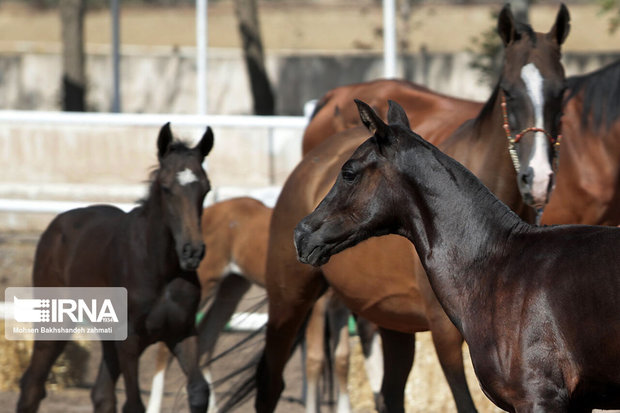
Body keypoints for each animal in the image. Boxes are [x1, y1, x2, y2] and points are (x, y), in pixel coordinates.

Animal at [16, 123, 213, 412]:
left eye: (206, 189)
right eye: (166, 188)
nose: (192, 252)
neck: (160, 268)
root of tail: (54, 227)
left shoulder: (183, 332)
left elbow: (199, 390)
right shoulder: (129, 340)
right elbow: (134, 403)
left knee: (101, 394)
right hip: (55, 322)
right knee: (32, 386)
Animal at [246, 4, 568, 412]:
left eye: (563, 92)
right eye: (509, 91)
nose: (537, 176)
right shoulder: (446, 332)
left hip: (390, 321)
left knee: (389, 390)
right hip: (290, 300)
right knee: (276, 378)